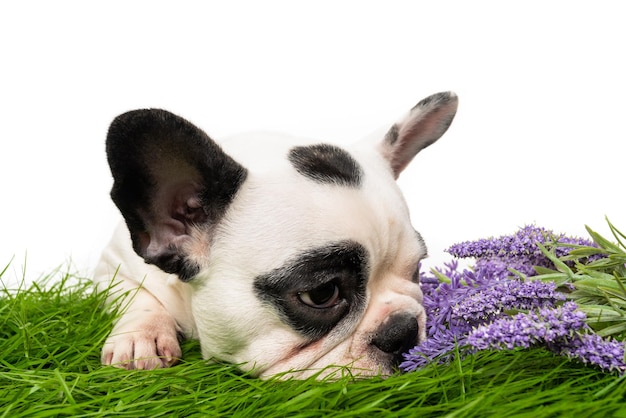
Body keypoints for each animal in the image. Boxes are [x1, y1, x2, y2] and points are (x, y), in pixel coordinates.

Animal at [95, 91, 458, 378]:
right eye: (322, 294)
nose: (403, 331)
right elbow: (134, 294)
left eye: (416, 269)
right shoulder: (112, 266)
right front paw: (141, 337)